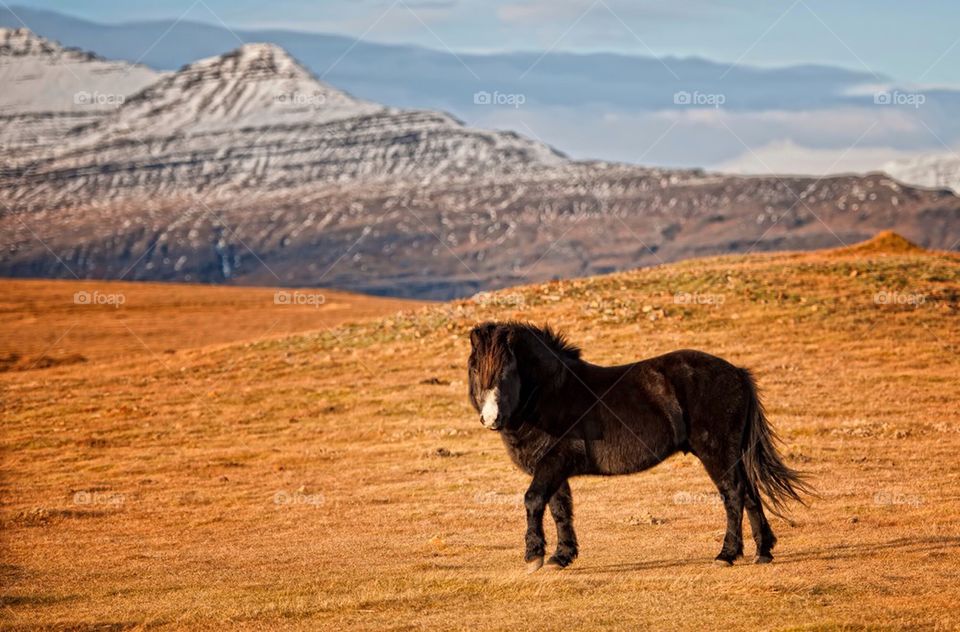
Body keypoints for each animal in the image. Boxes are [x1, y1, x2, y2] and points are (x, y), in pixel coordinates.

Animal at [464, 320, 808, 572]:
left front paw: (534, 556)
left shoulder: (553, 463)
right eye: (475, 369)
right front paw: (561, 557)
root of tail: (737, 372)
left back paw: (726, 554)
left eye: (508, 370)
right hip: (733, 454)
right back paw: (763, 552)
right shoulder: (552, 469)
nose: (491, 418)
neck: (552, 394)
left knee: (734, 495)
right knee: (749, 494)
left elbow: (533, 500)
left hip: (718, 452)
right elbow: (561, 509)